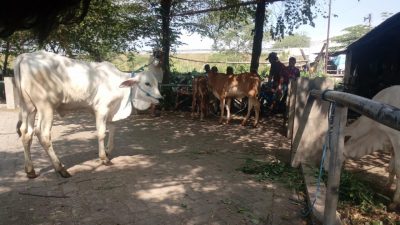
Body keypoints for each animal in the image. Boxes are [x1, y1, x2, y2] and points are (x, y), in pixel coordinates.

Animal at [14, 50, 163, 178]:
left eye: (157, 83)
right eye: (147, 83)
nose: (161, 99)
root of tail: (25, 56)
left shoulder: (110, 112)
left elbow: (113, 130)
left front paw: (108, 151)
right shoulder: (101, 109)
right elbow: (102, 133)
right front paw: (104, 158)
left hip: (29, 107)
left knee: (26, 133)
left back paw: (30, 170)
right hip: (46, 107)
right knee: (42, 134)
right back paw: (60, 168)